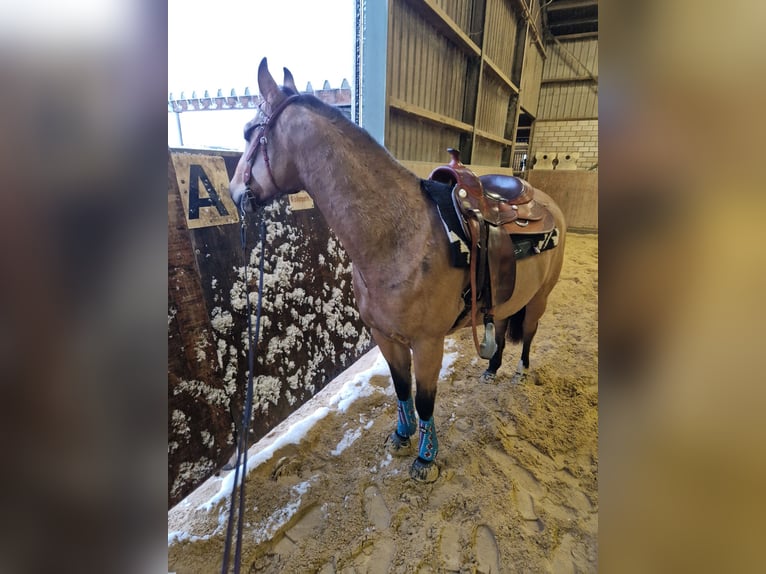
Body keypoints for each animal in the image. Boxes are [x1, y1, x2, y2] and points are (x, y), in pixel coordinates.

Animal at [228, 58, 564, 484]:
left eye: (248, 132)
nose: (234, 191)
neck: (400, 238)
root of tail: (545, 201)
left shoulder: (428, 343)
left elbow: (424, 400)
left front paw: (426, 459)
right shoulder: (385, 336)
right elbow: (401, 389)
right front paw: (401, 438)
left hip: (540, 298)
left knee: (530, 332)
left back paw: (520, 371)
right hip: (507, 297)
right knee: (502, 326)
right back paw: (491, 368)